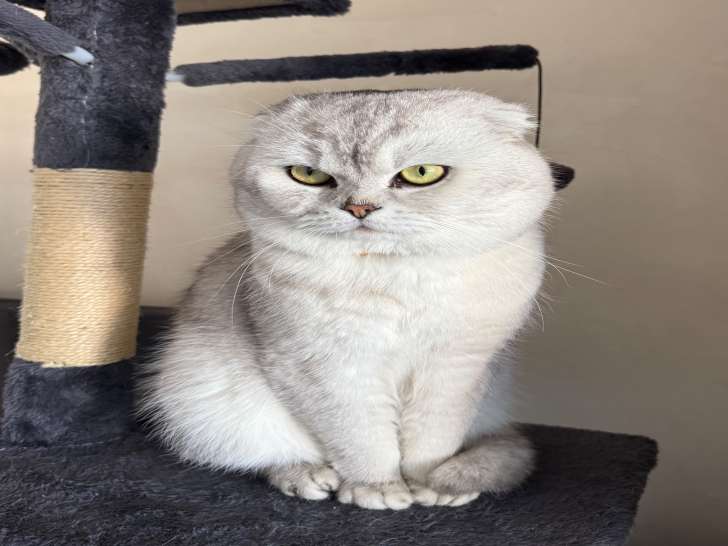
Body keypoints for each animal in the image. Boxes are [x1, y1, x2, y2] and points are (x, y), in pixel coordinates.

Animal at [139, 89, 555, 510]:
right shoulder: (330, 369)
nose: (359, 207)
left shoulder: (457, 368)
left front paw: (425, 486)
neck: (394, 279)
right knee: (265, 456)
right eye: (309, 175)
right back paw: (308, 476)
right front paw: (379, 489)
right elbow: (362, 439)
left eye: (422, 173)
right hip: (208, 406)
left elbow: (431, 442)